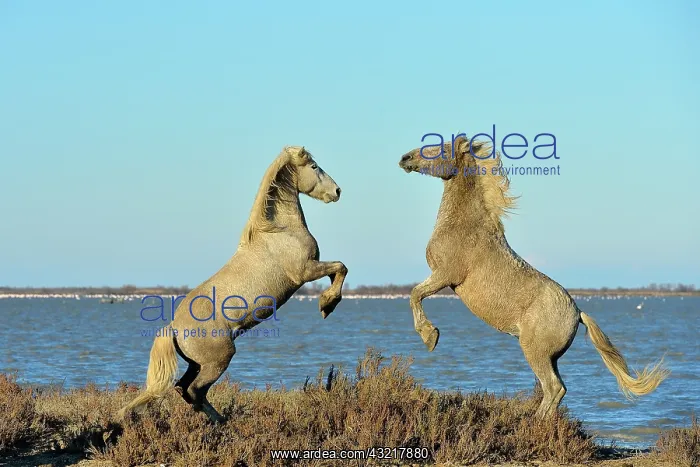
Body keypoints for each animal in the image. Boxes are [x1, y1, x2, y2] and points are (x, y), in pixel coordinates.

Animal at [119, 145, 348, 423]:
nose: (337, 191)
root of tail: (173, 328)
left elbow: (338, 271)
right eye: (314, 167)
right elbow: (340, 267)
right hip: (219, 359)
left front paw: (327, 304)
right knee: (194, 390)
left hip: (196, 363)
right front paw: (327, 305)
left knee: (184, 388)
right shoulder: (304, 271)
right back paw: (220, 421)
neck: (278, 230)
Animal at [398, 134, 669, 418]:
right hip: (551, 357)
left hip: (534, 351)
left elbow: (415, 294)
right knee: (557, 389)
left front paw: (430, 337)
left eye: (440, 148)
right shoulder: (440, 276)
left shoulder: (445, 275)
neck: (465, 225)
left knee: (553, 387)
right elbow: (415, 294)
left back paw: (535, 422)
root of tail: (577, 313)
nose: (405, 158)